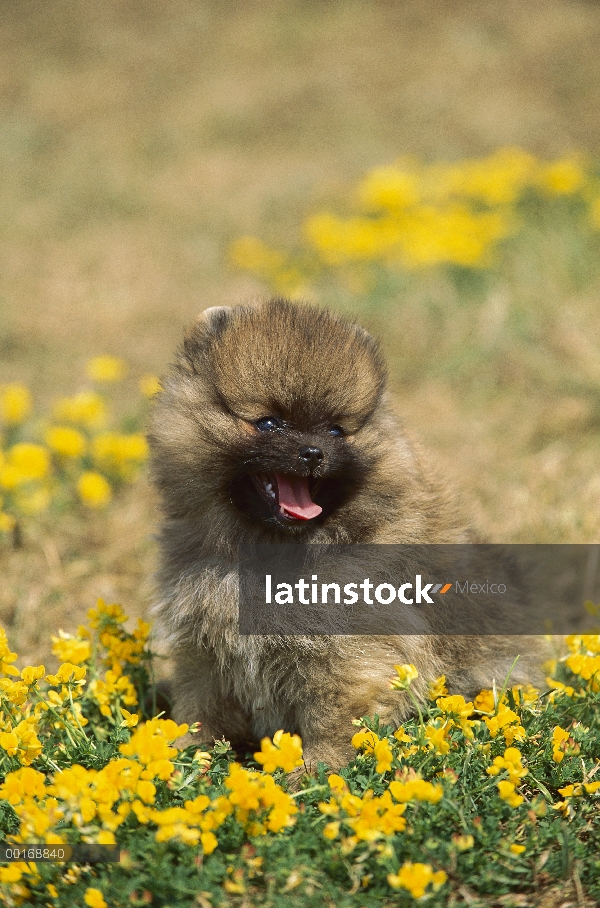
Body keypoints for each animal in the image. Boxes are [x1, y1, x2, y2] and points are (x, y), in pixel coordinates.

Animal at [149, 298, 536, 768]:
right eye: (269, 423)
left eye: (335, 430)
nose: (313, 452)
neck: (270, 550)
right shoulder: (204, 646)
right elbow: (200, 707)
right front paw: (185, 757)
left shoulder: (350, 650)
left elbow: (334, 718)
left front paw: (316, 772)